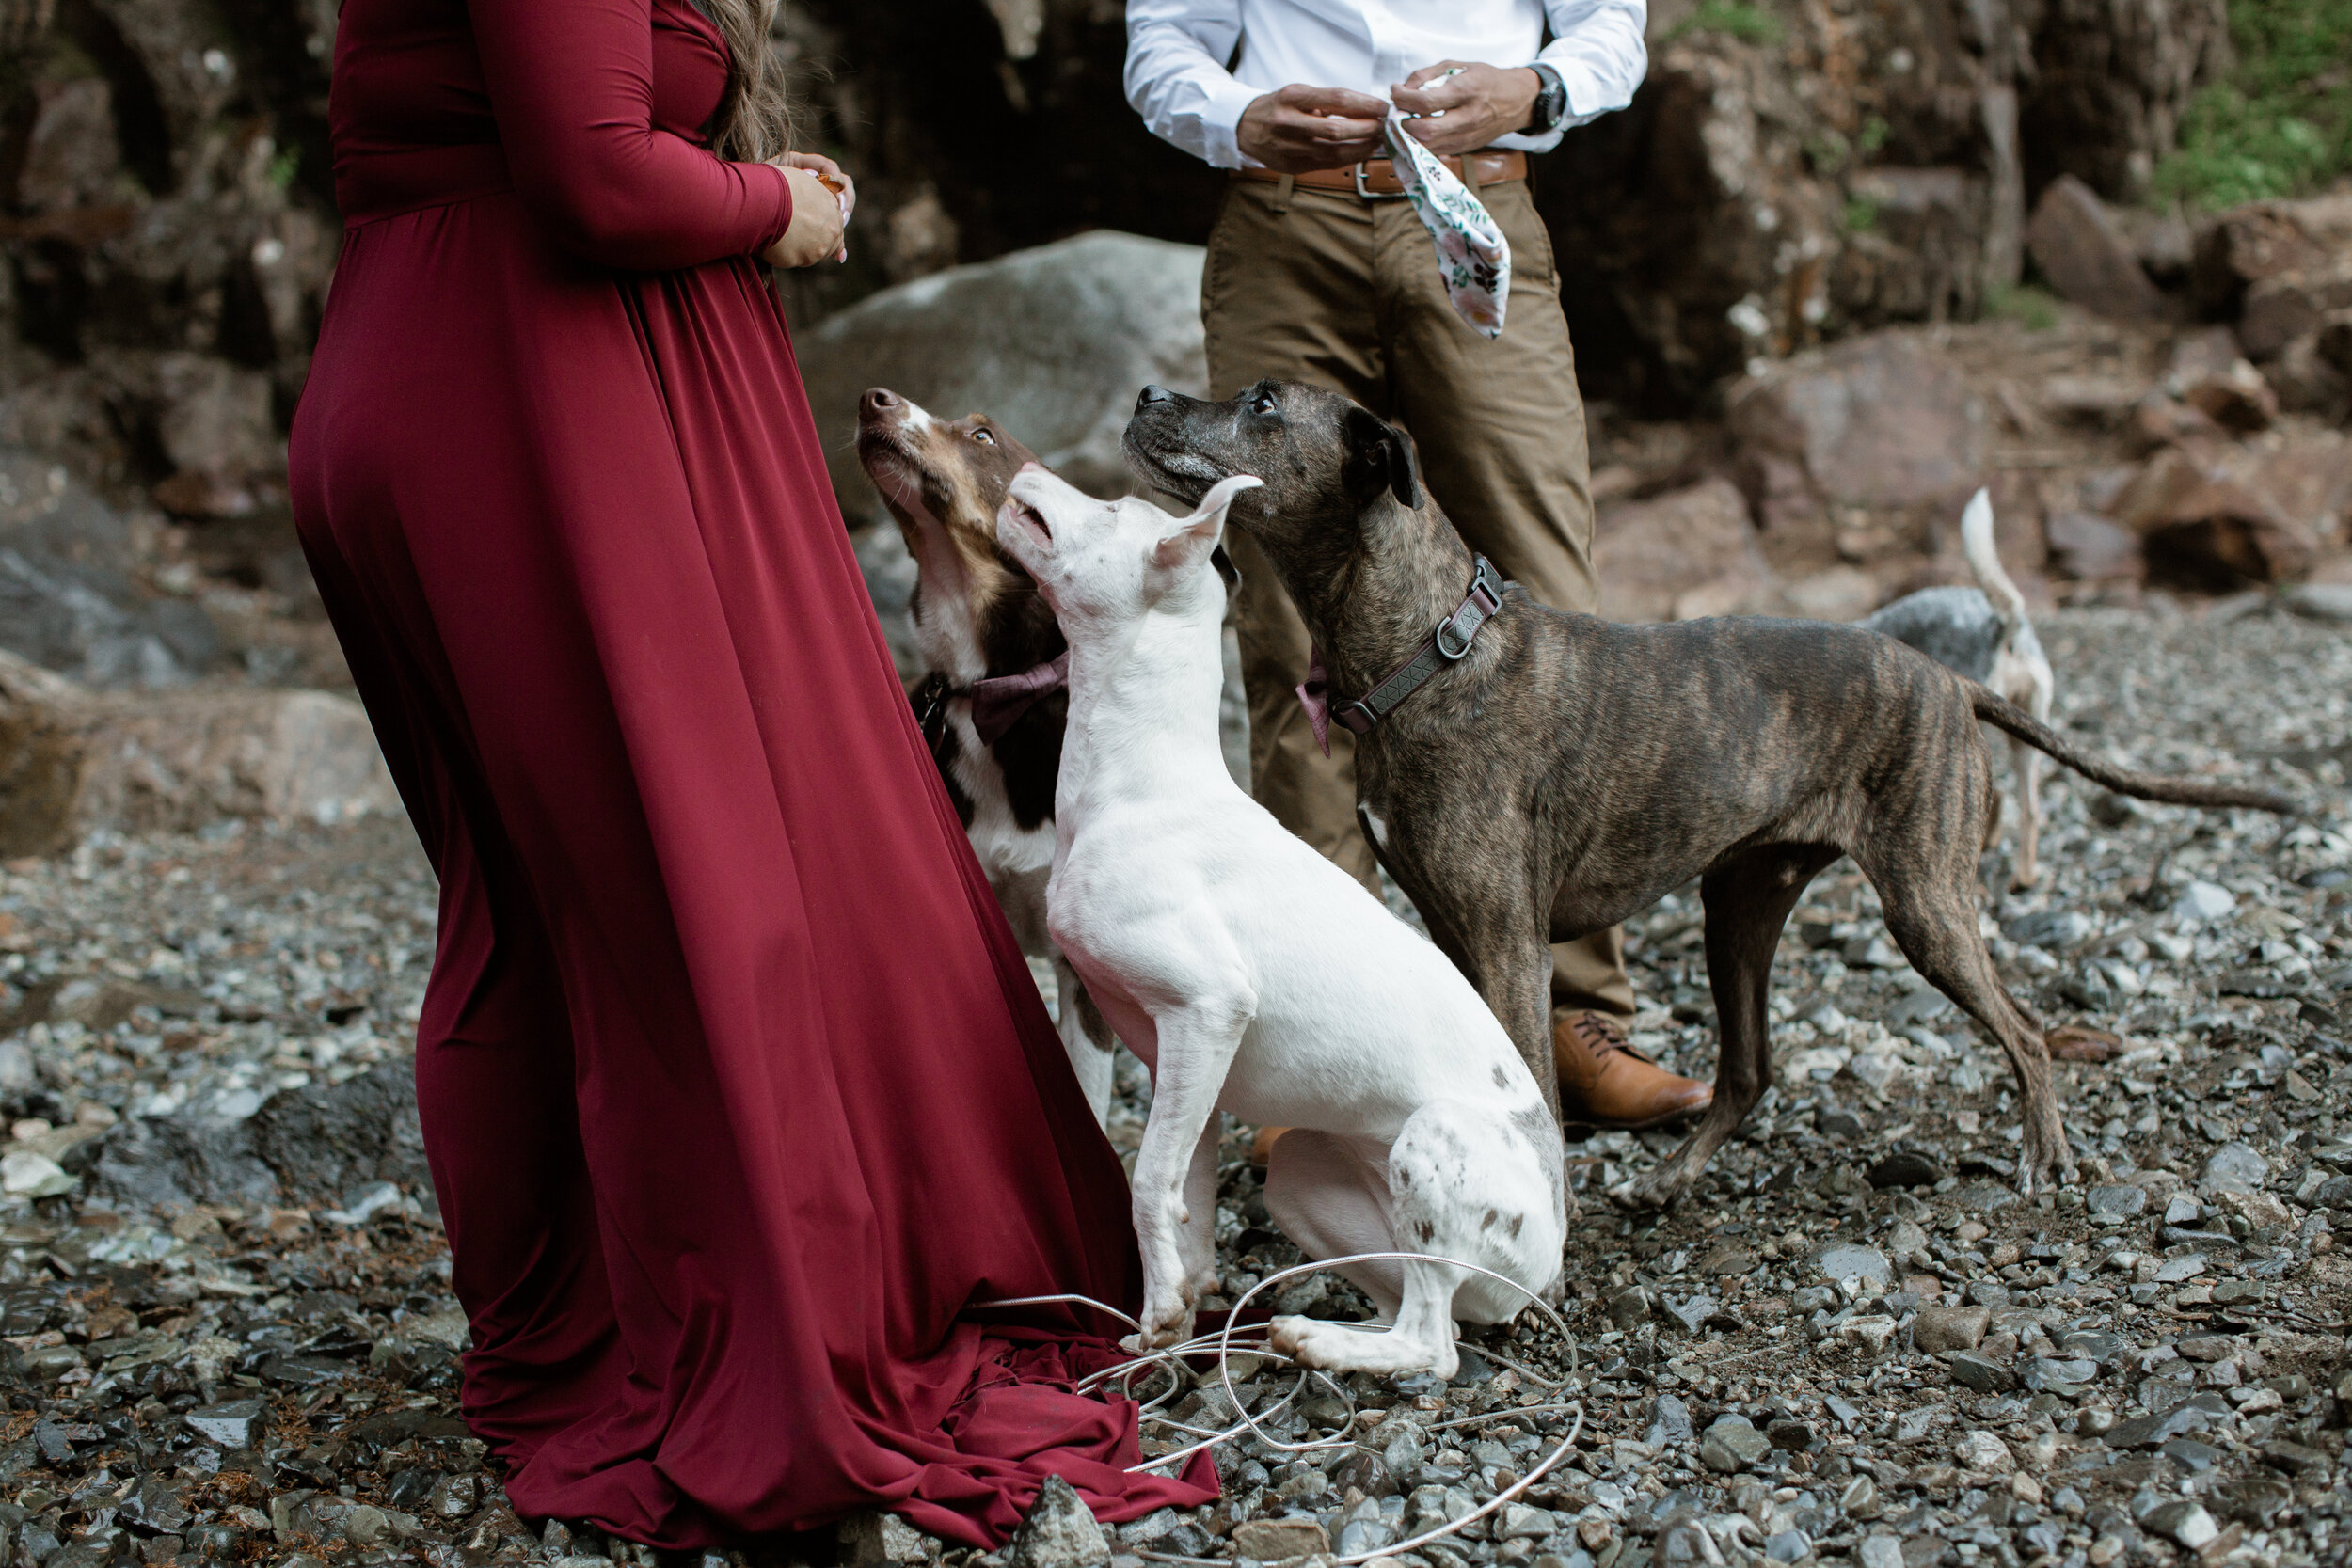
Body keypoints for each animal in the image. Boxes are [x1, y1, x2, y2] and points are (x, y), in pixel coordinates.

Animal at [993, 460, 1562, 1363]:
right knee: (1419, 1308)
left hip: (1430, 1144)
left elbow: (1147, 1176)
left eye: (1112, 507)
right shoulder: (1176, 1057)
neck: (1137, 780)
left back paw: (1320, 1343)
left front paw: (1158, 1314)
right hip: (1305, 1178)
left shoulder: (1210, 1006)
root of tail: (1550, 1262)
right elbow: (1183, 1193)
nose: (1021, 464)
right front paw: (1177, 1318)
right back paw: (1312, 1333)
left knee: (1433, 1342)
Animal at [1120, 383, 2296, 1203]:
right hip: (1738, 905)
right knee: (1752, 1069)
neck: (1431, 648)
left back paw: (2046, 1156)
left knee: (2026, 1029)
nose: (1142, 396)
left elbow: (1530, 1090)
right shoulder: (1456, 933)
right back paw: (1678, 1175)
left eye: (1264, 403)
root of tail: (1949, 678)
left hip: (1925, 904)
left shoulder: (1505, 940)